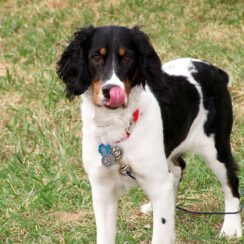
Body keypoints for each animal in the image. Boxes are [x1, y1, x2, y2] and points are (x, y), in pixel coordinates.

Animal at [57, 25, 242, 243]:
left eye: (127, 58)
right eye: (95, 58)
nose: (110, 90)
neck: (118, 128)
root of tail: (215, 70)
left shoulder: (157, 182)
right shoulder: (102, 188)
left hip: (215, 147)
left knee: (231, 181)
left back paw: (231, 228)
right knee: (178, 169)